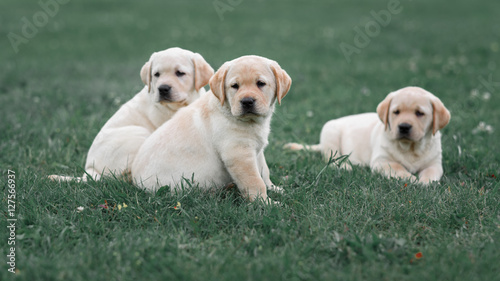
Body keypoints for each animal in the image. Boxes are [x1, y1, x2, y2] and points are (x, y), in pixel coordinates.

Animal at [133, 55, 292, 202]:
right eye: (235, 86)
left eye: (261, 83)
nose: (247, 101)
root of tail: (135, 182)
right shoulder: (239, 153)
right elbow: (255, 181)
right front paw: (265, 203)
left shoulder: (257, 150)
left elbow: (264, 172)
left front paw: (275, 189)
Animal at [284, 85, 452, 183]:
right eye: (396, 112)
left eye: (419, 113)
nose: (404, 127)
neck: (410, 148)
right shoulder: (381, 161)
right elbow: (397, 167)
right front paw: (410, 178)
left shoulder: (435, 163)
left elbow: (431, 172)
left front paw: (424, 181)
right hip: (330, 133)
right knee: (332, 159)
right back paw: (346, 166)